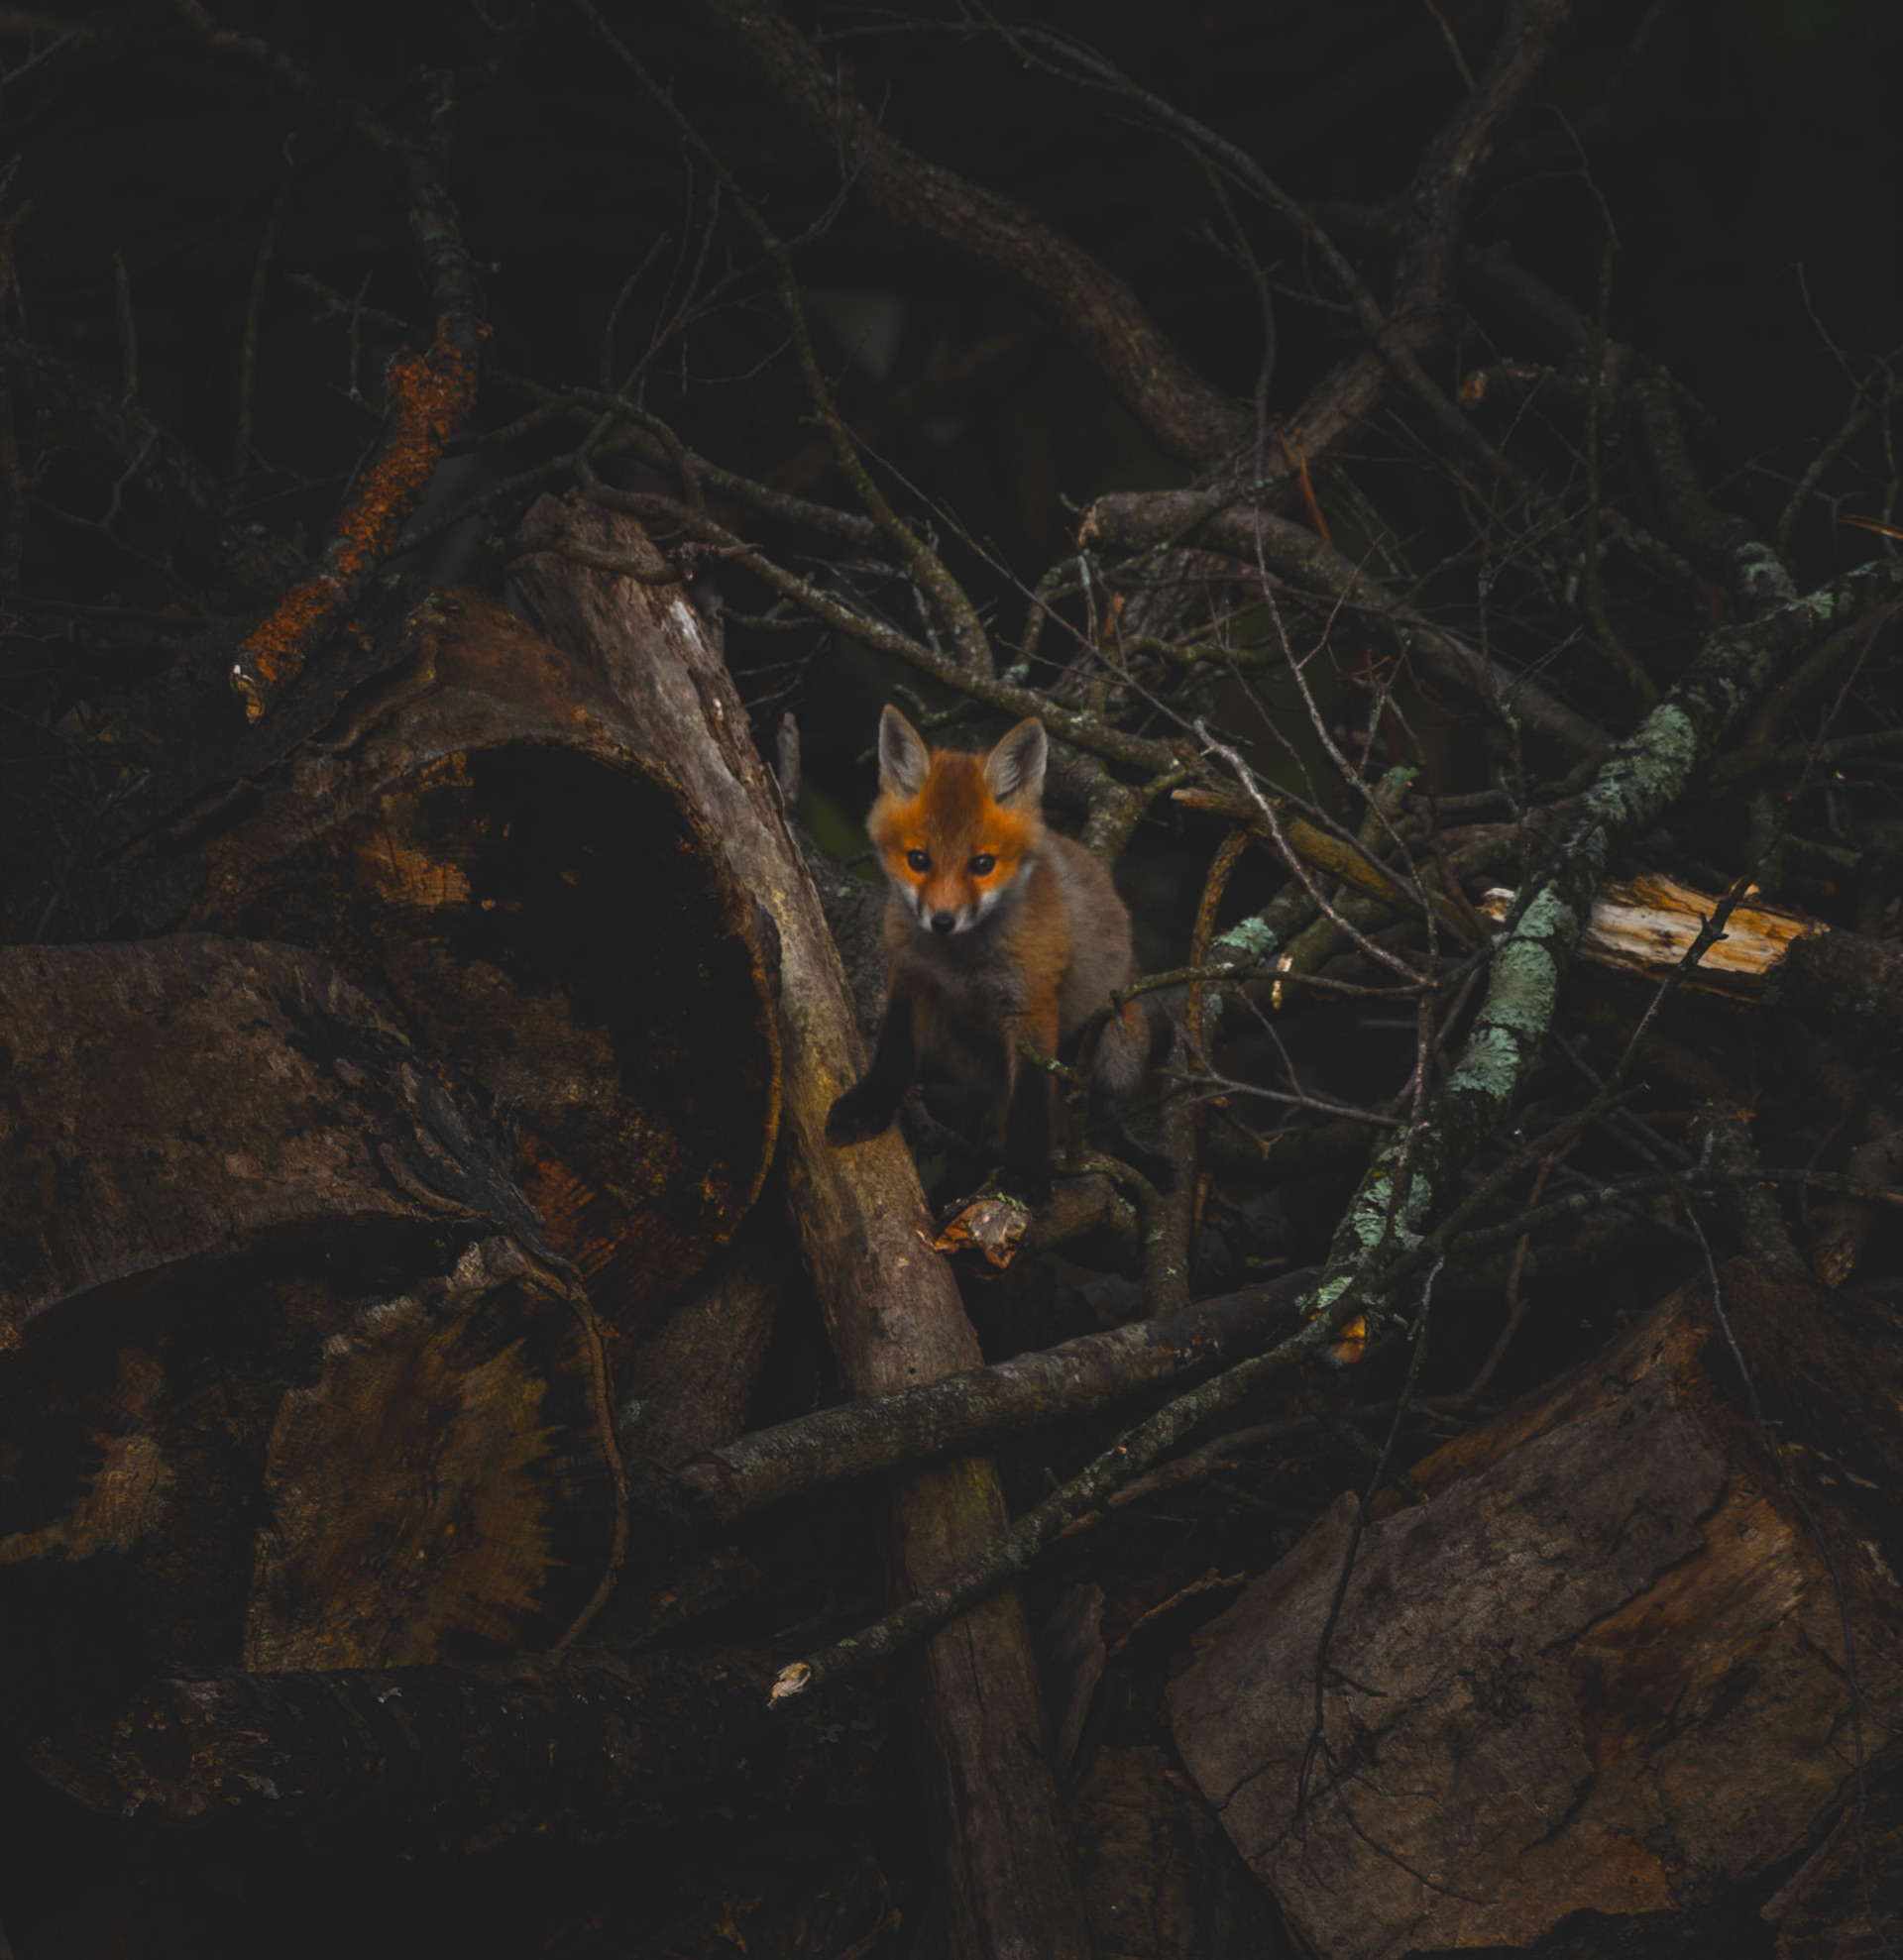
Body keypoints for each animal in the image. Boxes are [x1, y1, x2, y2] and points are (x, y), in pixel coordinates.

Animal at [825, 705, 1169, 1200]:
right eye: (919, 860)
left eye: (982, 864)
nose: (942, 921)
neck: (961, 963)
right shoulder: (910, 977)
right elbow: (893, 1052)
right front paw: (867, 1106)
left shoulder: (1032, 1005)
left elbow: (1030, 1101)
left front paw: (1027, 1176)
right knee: (983, 1120)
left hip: (1112, 1046)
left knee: (1100, 1115)